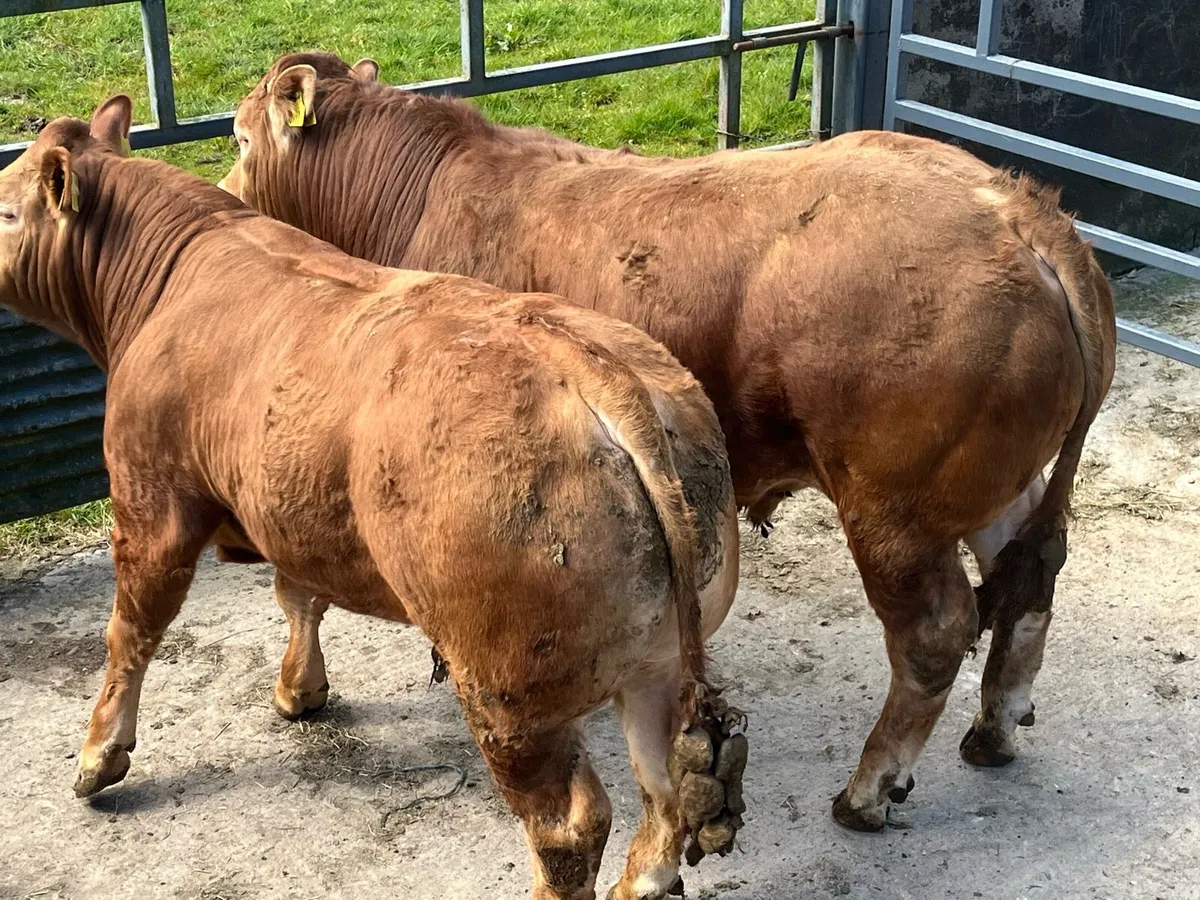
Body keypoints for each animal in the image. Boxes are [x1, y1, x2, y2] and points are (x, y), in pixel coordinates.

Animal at [0, 97, 749, 900]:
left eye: (8, 210)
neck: (173, 272)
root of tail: (594, 368)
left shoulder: (151, 498)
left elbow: (131, 632)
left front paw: (98, 755)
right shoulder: (288, 498)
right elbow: (298, 594)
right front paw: (301, 690)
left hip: (510, 692)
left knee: (569, 824)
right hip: (659, 656)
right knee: (663, 781)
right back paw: (643, 878)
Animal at [221, 51, 1119, 832]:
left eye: (235, 136)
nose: (226, 192)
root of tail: (1018, 209)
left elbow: (301, 583)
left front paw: (301, 688)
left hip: (897, 511)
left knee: (934, 634)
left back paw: (868, 790)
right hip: (991, 484)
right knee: (1030, 579)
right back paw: (995, 727)